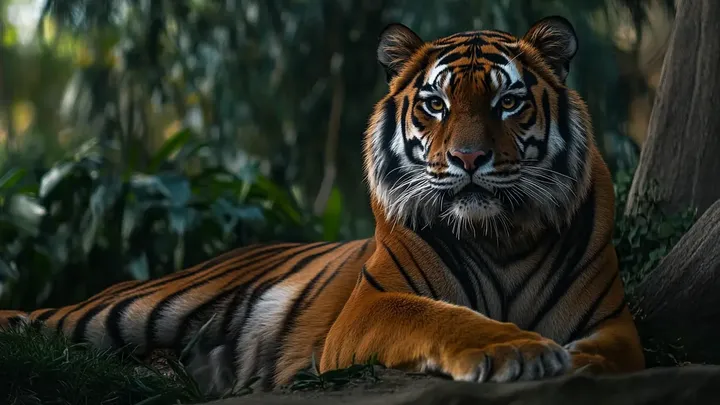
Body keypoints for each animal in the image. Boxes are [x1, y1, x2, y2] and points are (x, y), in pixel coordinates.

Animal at [0, 16, 644, 394]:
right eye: (435, 103)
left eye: (508, 101)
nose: (468, 159)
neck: (500, 235)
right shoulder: (373, 306)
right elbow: (447, 316)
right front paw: (518, 347)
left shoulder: (614, 325)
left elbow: (605, 357)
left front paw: (566, 360)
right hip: (128, 308)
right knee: (42, 322)